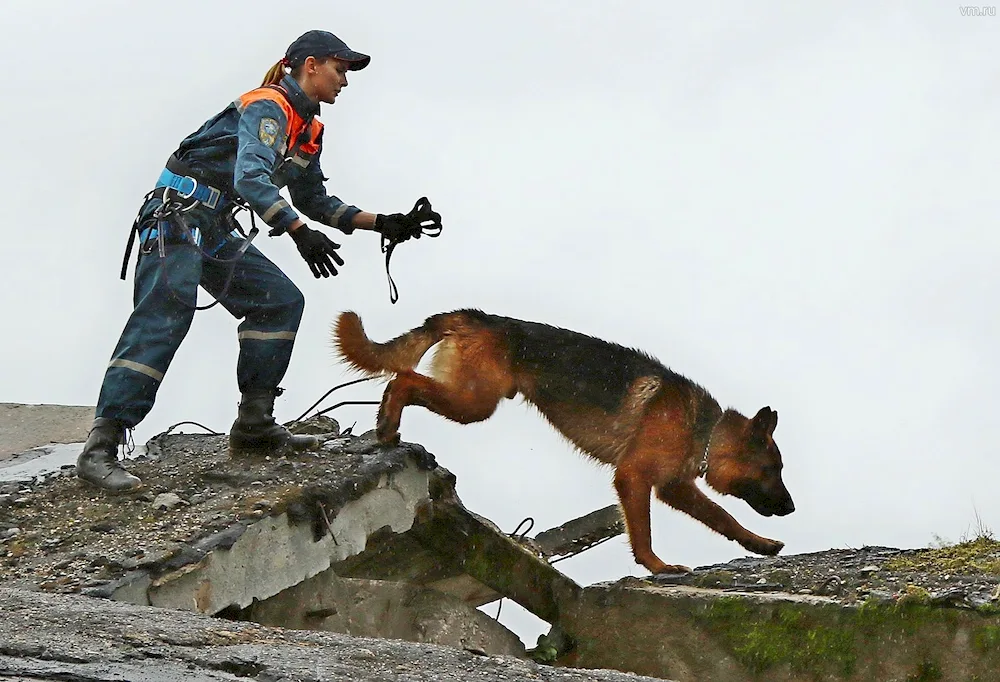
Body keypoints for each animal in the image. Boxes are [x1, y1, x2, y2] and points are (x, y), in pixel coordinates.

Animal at [336, 310, 796, 572]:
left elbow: (723, 517)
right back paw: (387, 425)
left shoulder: (673, 486)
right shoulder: (635, 478)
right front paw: (657, 567)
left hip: (469, 399)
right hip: (472, 402)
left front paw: (758, 543)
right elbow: (645, 532)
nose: (791, 509)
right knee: (402, 378)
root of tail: (475, 315)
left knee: (403, 377)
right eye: (772, 470)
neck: (706, 430)